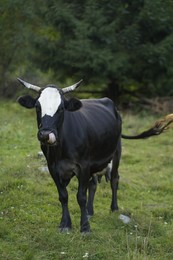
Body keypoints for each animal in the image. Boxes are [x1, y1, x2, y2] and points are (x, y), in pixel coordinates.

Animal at [16, 78, 166, 233]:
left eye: (61, 108)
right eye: (37, 107)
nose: (45, 135)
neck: (61, 150)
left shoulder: (83, 166)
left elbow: (81, 196)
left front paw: (85, 228)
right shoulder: (53, 167)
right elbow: (63, 195)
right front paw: (65, 224)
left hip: (116, 152)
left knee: (114, 179)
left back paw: (114, 208)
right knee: (93, 184)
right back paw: (89, 211)